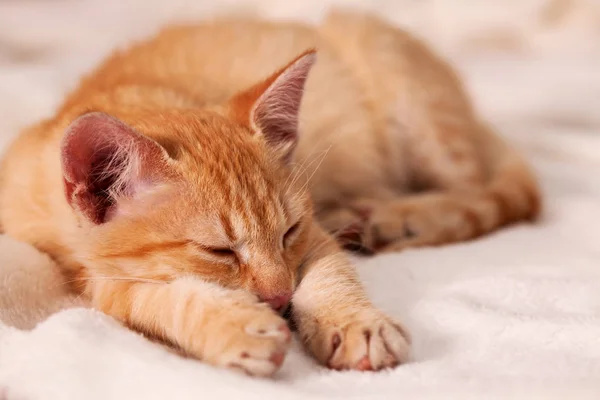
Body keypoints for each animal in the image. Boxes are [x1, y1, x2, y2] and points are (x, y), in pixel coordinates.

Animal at [0, 10, 540, 378]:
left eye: (288, 231)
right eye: (219, 251)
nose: (280, 297)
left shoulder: (314, 231)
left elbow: (330, 272)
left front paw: (356, 322)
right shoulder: (82, 271)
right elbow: (140, 296)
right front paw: (230, 323)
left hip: (407, 91)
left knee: (490, 191)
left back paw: (400, 217)